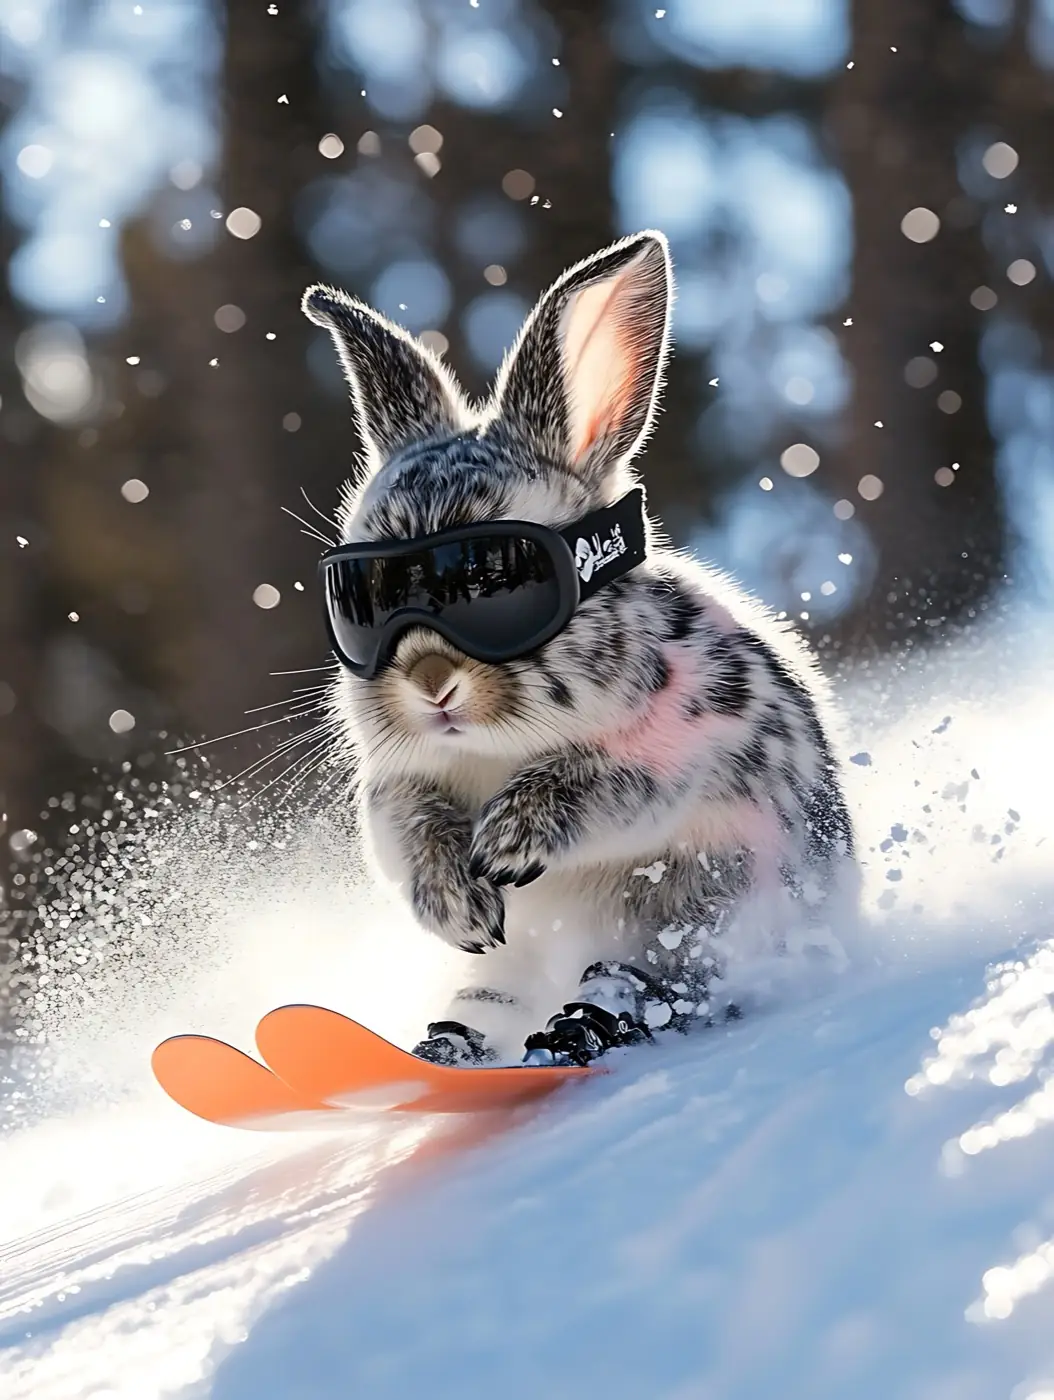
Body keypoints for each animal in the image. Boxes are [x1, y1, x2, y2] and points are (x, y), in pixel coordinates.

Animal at [303, 230, 857, 1062]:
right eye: (362, 599)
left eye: (496, 581)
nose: (431, 682)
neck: (495, 748)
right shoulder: (398, 784)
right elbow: (411, 834)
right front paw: (463, 902)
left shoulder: (682, 751)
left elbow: (597, 783)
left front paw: (505, 845)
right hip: (512, 974)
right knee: (487, 1011)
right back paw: (440, 1055)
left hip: (704, 913)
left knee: (646, 985)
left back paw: (576, 1033)